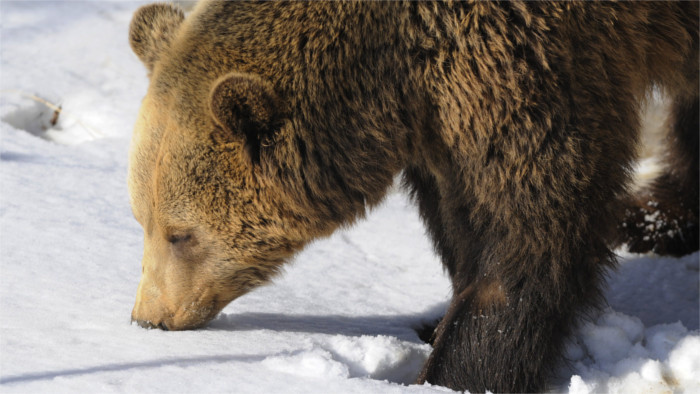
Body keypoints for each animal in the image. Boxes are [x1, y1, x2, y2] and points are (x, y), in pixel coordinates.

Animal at [129, 1, 696, 392]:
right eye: (141, 219)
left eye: (181, 234)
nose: (149, 318)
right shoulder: (448, 109)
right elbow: (460, 217)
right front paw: (434, 324)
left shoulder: (526, 60)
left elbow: (528, 228)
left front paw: (454, 369)